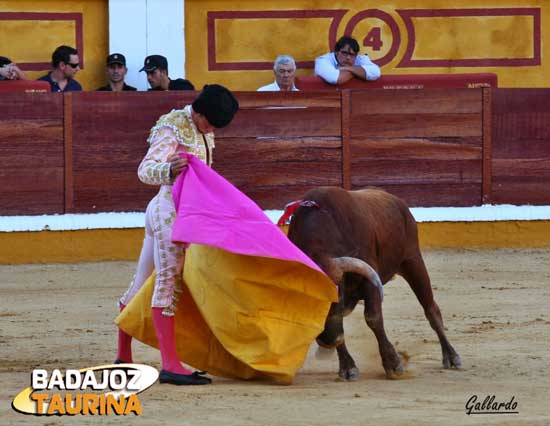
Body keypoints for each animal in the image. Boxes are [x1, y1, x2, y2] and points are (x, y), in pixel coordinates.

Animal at [286, 186, 464, 380]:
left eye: (337, 292)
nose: (328, 341)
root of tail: (396, 200)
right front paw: (347, 367)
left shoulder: (369, 280)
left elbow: (373, 318)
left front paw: (393, 364)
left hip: (412, 261)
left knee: (431, 309)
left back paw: (452, 357)